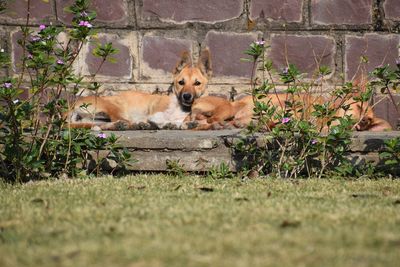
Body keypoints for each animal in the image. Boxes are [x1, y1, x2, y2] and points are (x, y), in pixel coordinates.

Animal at [68, 50, 212, 131]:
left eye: (197, 83)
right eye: (181, 82)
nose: (187, 96)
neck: (180, 106)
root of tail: (70, 108)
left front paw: (185, 124)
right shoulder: (154, 115)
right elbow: (164, 121)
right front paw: (171, 125)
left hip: (97, 118)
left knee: (99, 125)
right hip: (113, 106)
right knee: (125, 122)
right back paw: (138, 124)